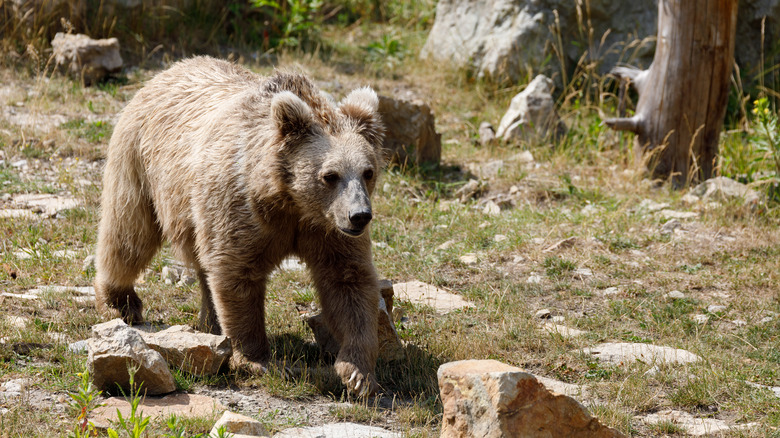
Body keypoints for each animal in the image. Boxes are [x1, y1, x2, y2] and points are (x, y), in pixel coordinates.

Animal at [93, 56, 384, 396]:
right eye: (330, 175)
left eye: (368, 171)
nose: (359, 215)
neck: (291, 202)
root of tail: (168, 70)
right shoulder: (241, 208)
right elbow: (238, 275)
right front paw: (255, 358)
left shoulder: (327, 231)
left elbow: (349, 283)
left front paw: (358, 373)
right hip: (140, 164)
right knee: (128, 233)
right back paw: (120, 302)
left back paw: (210, 322)